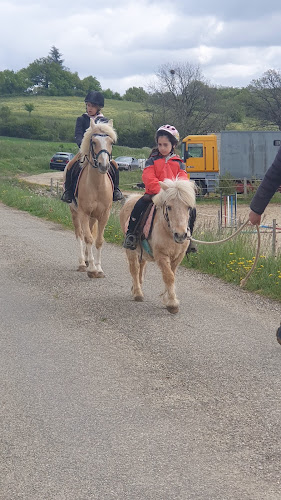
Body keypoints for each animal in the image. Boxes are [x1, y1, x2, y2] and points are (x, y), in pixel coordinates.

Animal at [67, 119, 117, 280]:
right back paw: (83, 263)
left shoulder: (104, 214)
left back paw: (89, 260)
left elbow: (99, 240)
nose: (104, 165)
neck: (97, 185)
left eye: (111, 142)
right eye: (94, 142)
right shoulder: (83, 213)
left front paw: (99, 269)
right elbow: (88, 238)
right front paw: (92, 270)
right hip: (75, 213)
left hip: (93, 216)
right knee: (80, 234)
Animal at [119, 179, 196, 312]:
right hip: (131, 250)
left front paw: (167, 299)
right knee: (134, 269)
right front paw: (172, 304)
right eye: (169, 207)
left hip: (142, 252)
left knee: (141, 268)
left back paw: (135, 288)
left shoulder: (178, 257)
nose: (180, 235)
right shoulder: (161, 256)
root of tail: (131, 198)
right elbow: (169, 276)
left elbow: (171, 274)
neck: (168, 231)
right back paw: (138, 293)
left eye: (188, 207)